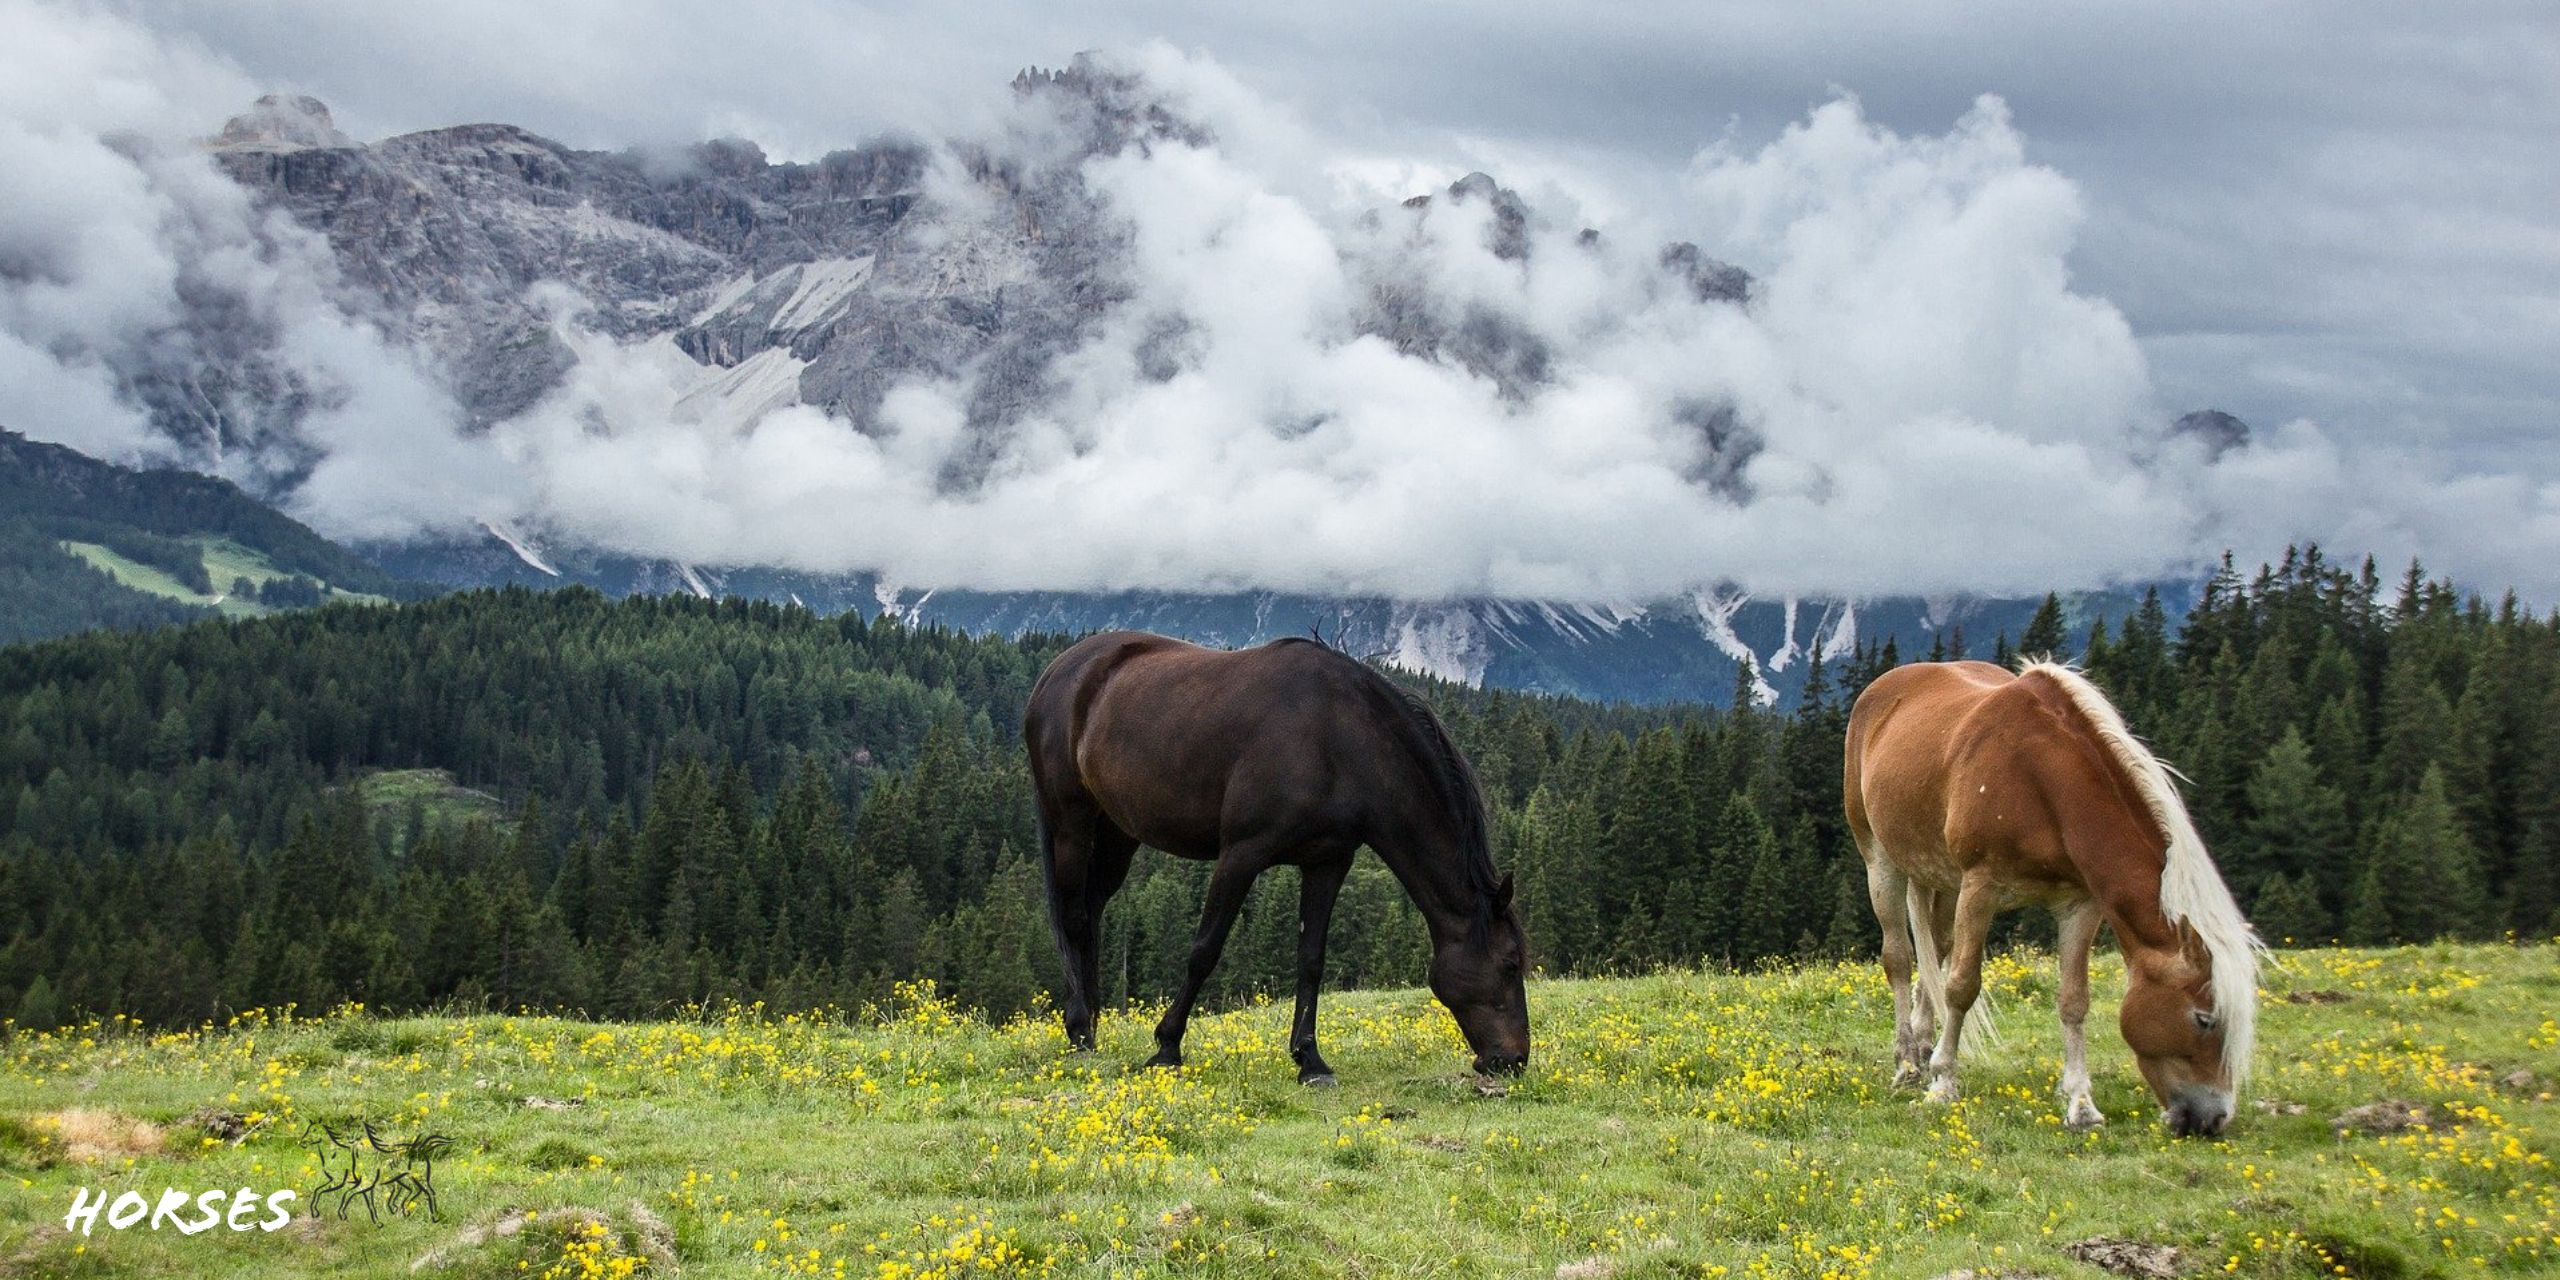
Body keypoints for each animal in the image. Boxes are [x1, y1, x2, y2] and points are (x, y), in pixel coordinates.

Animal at [1024, 629, 1525, 1080]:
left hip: (1118, 832)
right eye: (1510, 963)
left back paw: (1092, 1027)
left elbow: (1311, 960)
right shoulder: (1241, 855)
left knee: (1092, 912)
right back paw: (1080, 1031)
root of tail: (1058, 672)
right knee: (1074, 918)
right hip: (1071, 821)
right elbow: (1204, 951)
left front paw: (1310, 1060)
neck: (1338, 737)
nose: (1512, 1060)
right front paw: (1167, 1046)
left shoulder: (1327, 863)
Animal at [1853, 665, 2252, 1136]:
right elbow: (1962, 986)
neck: (2042, 779)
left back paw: (1921, 1045)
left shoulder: (2079, 905)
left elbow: (2074, 1001)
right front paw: (1944, 1082)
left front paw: (2081, 1104)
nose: (2213, 1119)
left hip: (1943, 880)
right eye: (2204, 1019)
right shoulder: (1981, 886)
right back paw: (1907, 1065)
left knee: (1935, 949)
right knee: (1898, 958)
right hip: (1881, 859)